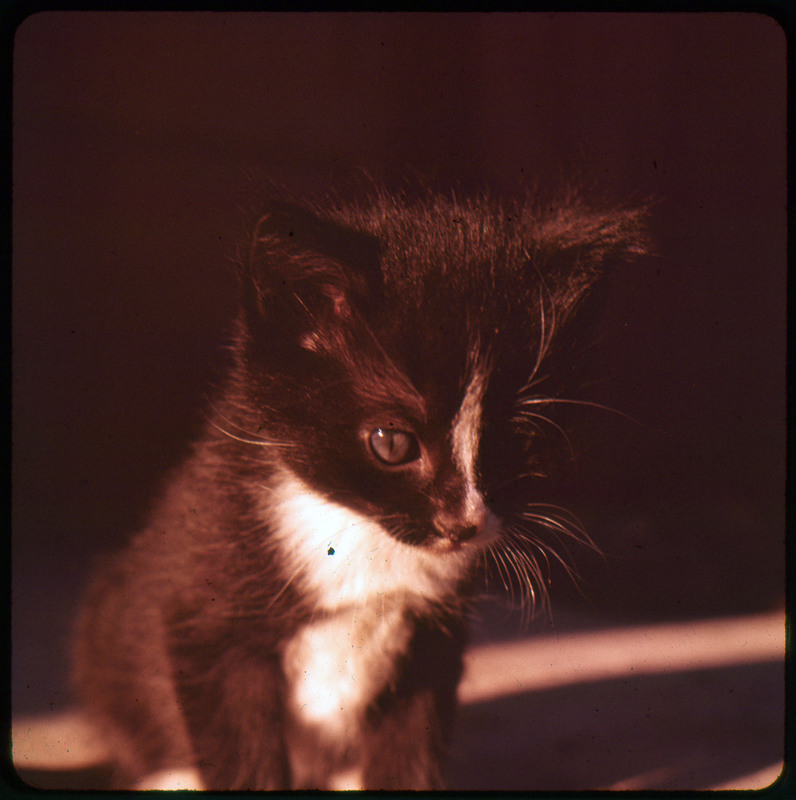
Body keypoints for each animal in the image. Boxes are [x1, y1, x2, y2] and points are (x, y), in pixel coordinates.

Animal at [73, 189, 648, 792]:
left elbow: (411, 743)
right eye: (392, 443)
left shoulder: (430, 638)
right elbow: (242, 744)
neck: (356, 535)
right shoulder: (205, 602)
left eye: (514, 442)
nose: (462, 524)